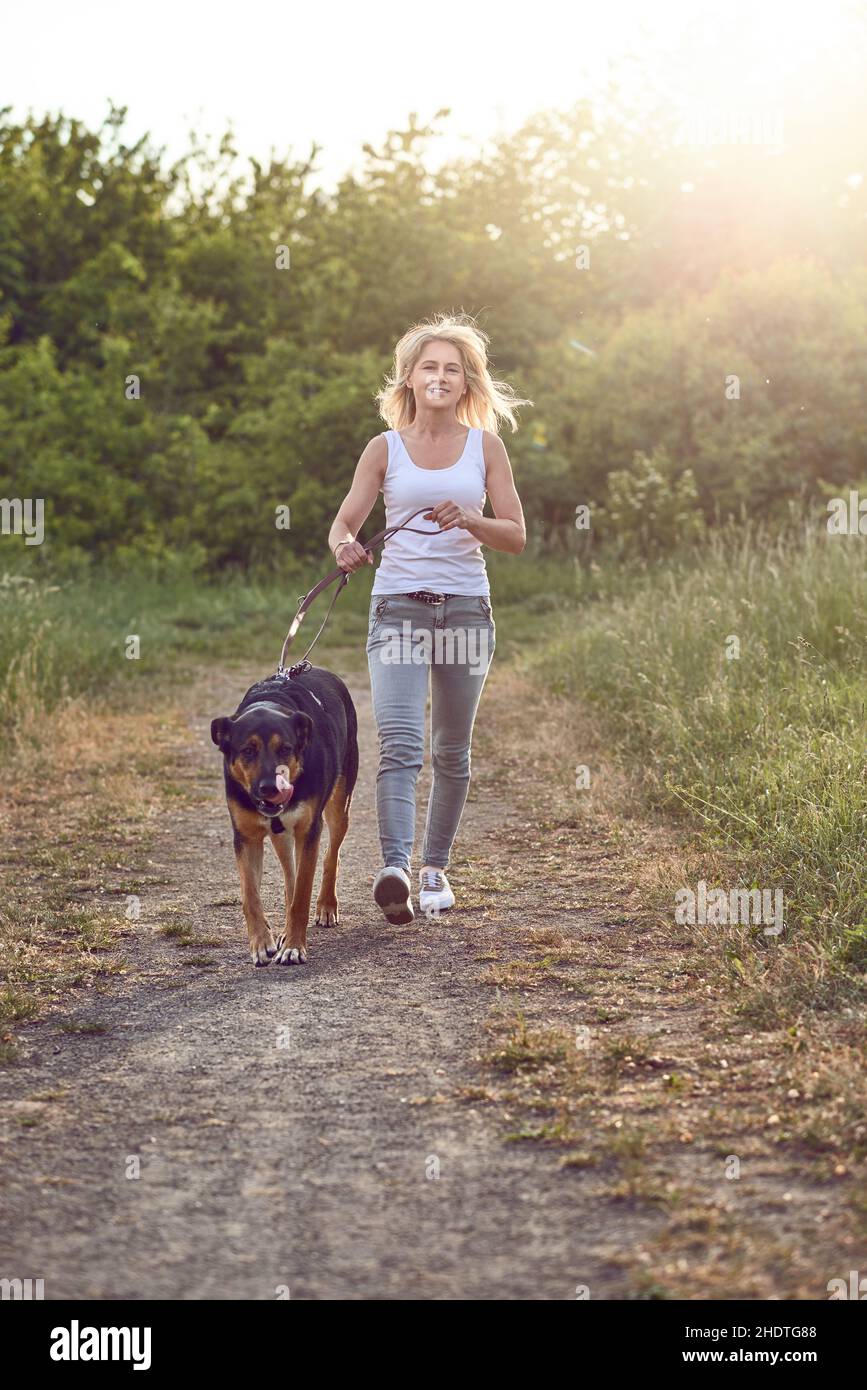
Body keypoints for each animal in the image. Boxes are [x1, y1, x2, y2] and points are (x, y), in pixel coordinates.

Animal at [209, 669, 355, 967]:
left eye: (286, 749)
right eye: (248, 750)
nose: (270, 789)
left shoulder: (309, 831)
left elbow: (301, 896)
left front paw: (294, 947)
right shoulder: (246, 837)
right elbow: (251, 895)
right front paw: (261, 943)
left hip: (339, 807)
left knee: (331, 855)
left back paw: (326, 905)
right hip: (281, 835)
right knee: (290, 875)